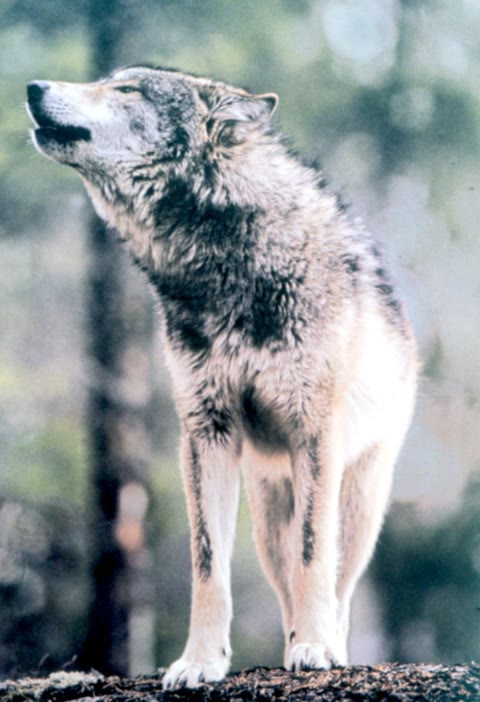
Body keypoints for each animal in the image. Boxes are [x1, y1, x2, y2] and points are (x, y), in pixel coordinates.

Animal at [27, 65, 417, 688]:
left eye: (127, 90)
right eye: (108, 81)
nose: (33, 87)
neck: (222, 262)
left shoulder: (313, 433)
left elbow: (315, 556)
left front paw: (316, 647)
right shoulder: (206, 431)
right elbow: (208, 565)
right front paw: (201, 661)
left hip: (356, 504)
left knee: (336, 582)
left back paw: (324, 643)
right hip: (267, 518)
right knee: (285, 582)